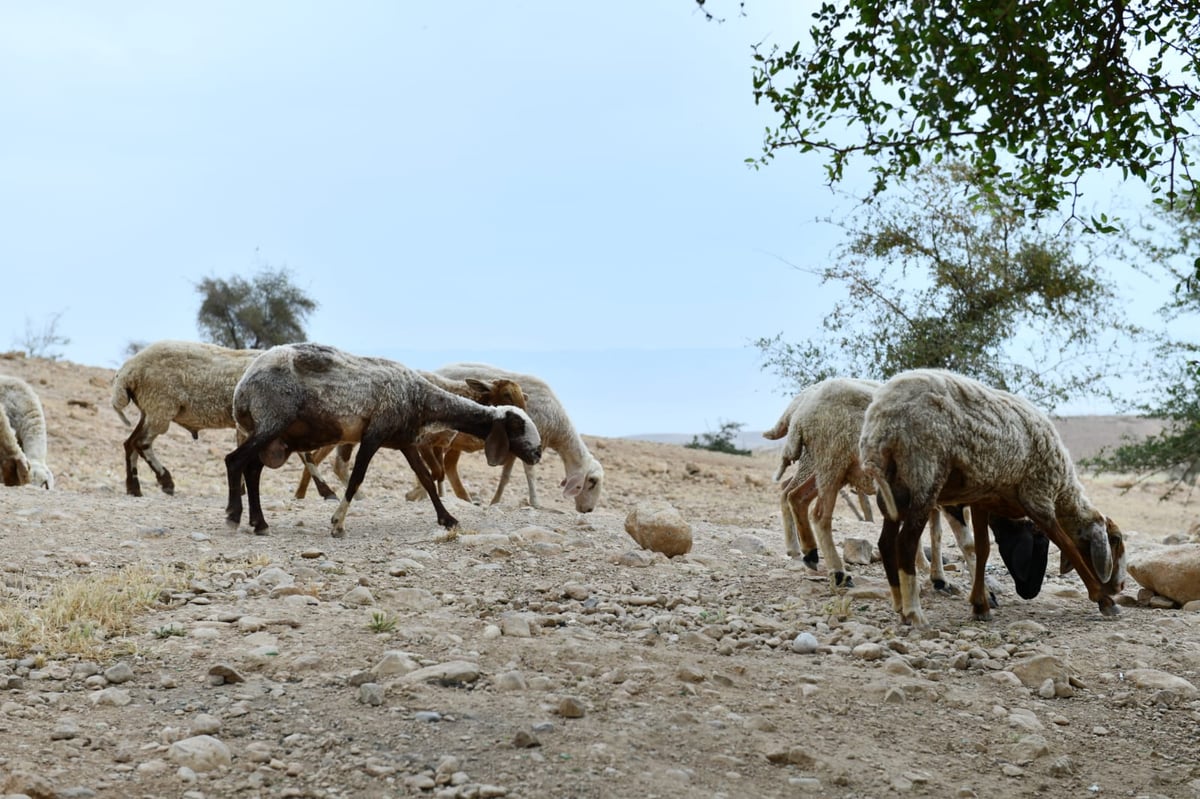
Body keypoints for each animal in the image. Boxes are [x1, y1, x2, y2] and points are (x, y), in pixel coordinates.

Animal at [225, 343, 544, 535]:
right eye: (517, 425)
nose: (538, 454)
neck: (420, 398)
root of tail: (241, 388)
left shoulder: (405, 442)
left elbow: (427, 479)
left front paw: (448, 519)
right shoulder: (374, 435)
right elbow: (357, 478)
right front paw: (337, 523)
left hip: (274, 436)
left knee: (252, 470)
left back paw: (259, 522)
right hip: (271, 423)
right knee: (234, 461)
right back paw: (234, 516)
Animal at [427, 359, 604, 511]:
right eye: (592, 481)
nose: (588, 510)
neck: (557, 428)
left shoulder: (516, 448)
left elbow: (506, 476)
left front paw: (495, 501)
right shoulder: (532, 444)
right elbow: (530, 473)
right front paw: (535, 502)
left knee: (448, 463)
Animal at [859, 364, 1128, 623]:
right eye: (1115, 540)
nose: (1120, 586)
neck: (1062, 489)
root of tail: (880, 417)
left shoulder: (982, 499)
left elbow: (982, 549)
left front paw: (980, 606)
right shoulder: (1037, 495)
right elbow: (1066, 543)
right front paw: (1103, 600)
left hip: (896, 487)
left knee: (885, 542)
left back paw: (900, 606)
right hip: (923, 473)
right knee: (904, 543)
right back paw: (915, 613)